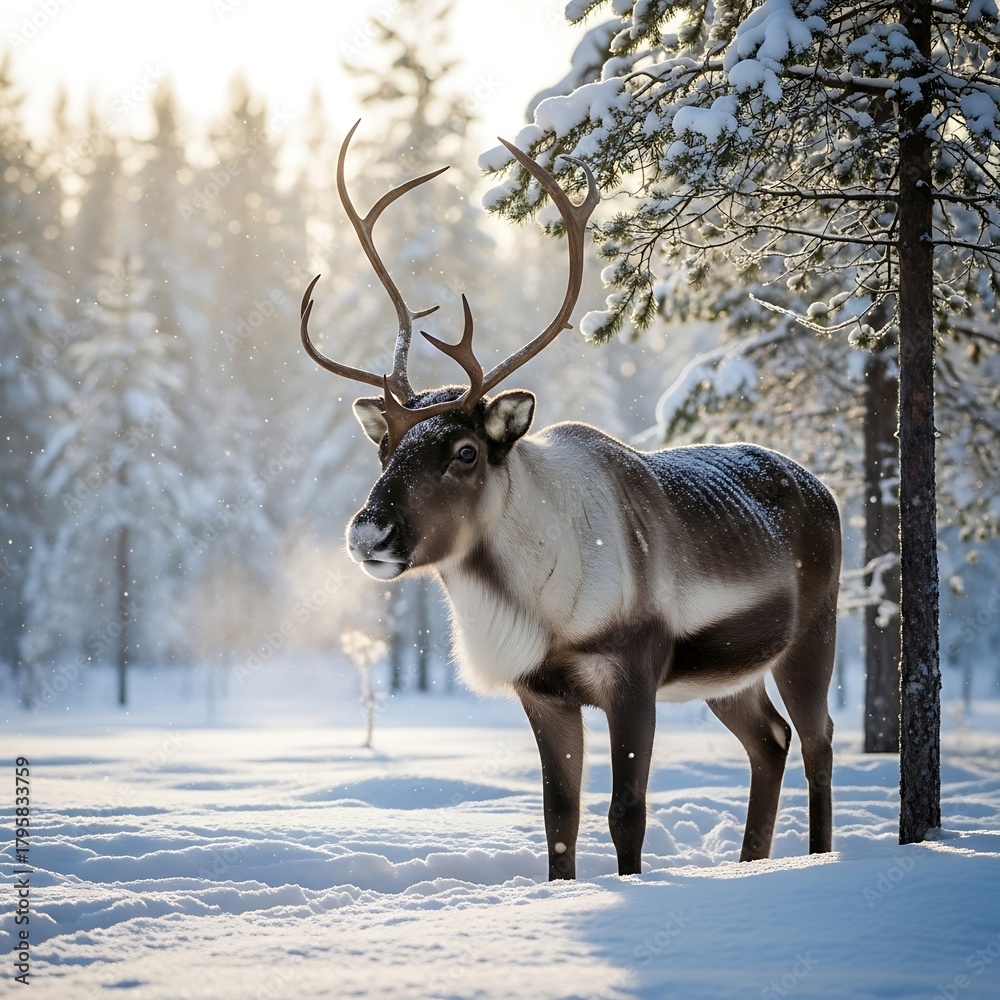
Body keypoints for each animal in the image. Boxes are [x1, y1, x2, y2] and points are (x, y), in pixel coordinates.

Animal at [299, 120, 841, 881]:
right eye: (386, 449)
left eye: (466, 452)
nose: (368, 532)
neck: (543, 608)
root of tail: (824, 490)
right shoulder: (545, 692)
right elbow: (560, 818)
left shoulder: (633, 674)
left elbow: (626, 813)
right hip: (731, 673)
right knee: (771, 739)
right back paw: (751, 864)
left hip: (812, 633)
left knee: (819, 740)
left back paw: (819, 858)